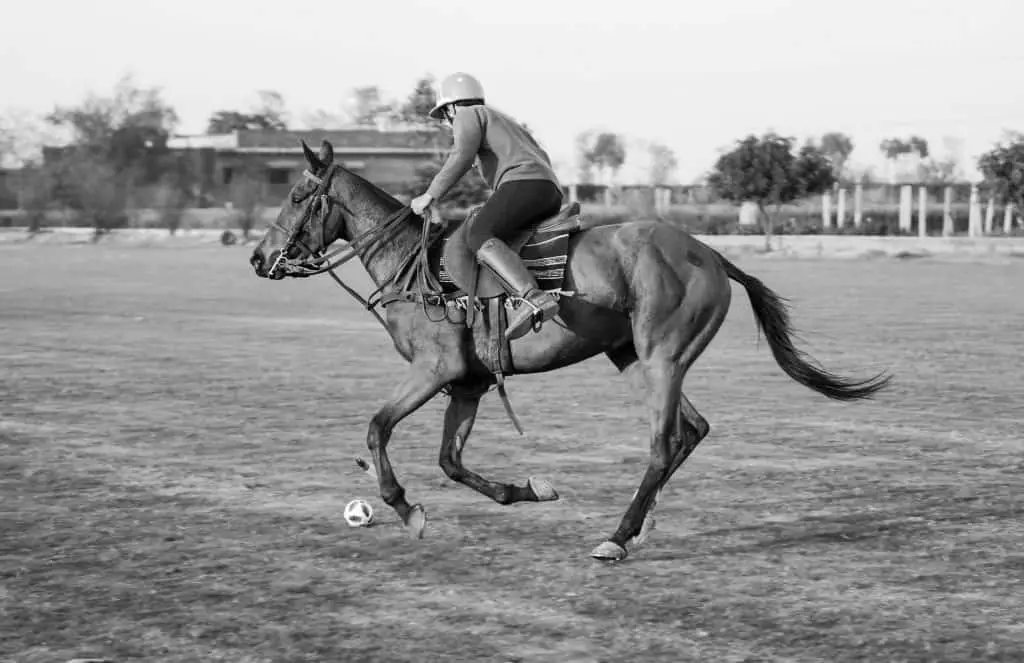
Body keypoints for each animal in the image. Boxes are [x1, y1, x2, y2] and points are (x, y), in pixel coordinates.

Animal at [247, 138, 888, 561]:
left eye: (299, 194)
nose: (257, 257)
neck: (413, 264)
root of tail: (711, 254)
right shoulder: (468, 384)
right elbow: (451, 460)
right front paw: (528, 489)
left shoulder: (434, 369)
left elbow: (377, 429)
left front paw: (407, 510)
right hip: (633, 357)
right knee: (693, 429)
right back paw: (642, 526)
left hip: (662, 355)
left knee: (664, 443)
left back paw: (617, 537)